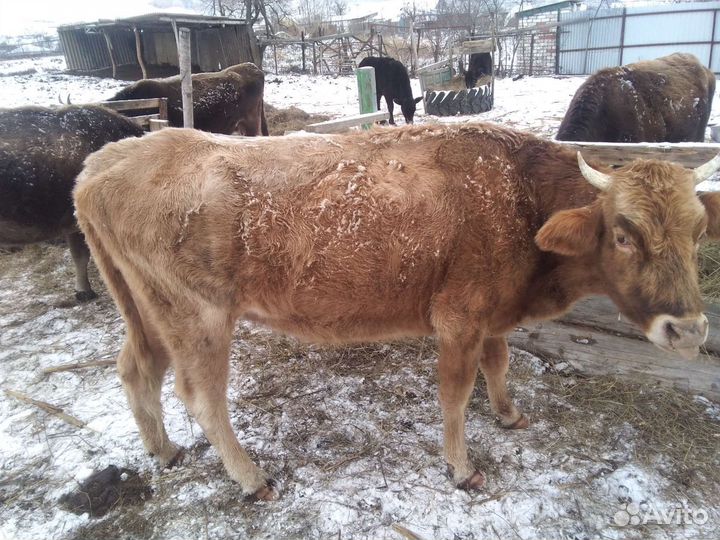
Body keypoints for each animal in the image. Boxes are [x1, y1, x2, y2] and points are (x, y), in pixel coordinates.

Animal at [74, 123, 720, 500]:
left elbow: (500, 363)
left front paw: (509, 414)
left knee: (137, 370)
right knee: (202, 396)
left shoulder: (491, 314)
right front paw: (462, 468)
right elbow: (457, 393)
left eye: (697, 231)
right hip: (198, 318)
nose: (688, 330)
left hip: (146, 313)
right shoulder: (459, 317)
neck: (519, 194)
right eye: (624, 234)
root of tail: (104, 160)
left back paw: (163, 450)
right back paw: (252, 478)